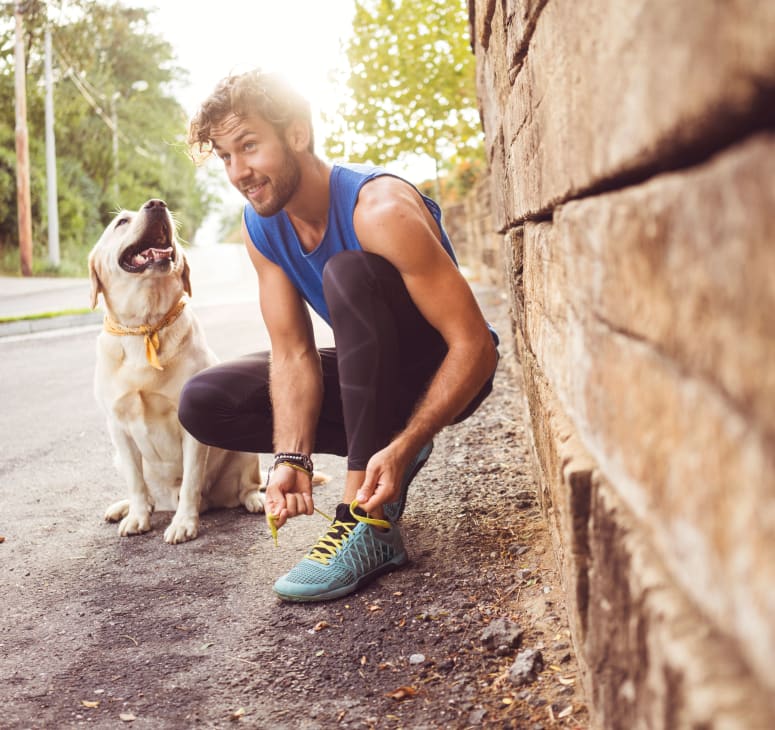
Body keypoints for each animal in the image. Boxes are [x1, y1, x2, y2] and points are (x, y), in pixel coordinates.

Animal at [88, 199, 266, 540]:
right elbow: (135, 481)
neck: (145, 326)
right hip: (118, 457)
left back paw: (255, 500)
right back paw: (124, 507)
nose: (157, 204)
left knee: (248, 485)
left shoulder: (190, 429)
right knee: (147, 493)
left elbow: (191, 481)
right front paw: (137, 517)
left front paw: (184, 523)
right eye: (121, 222)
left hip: (243, 451)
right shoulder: (118, 427)